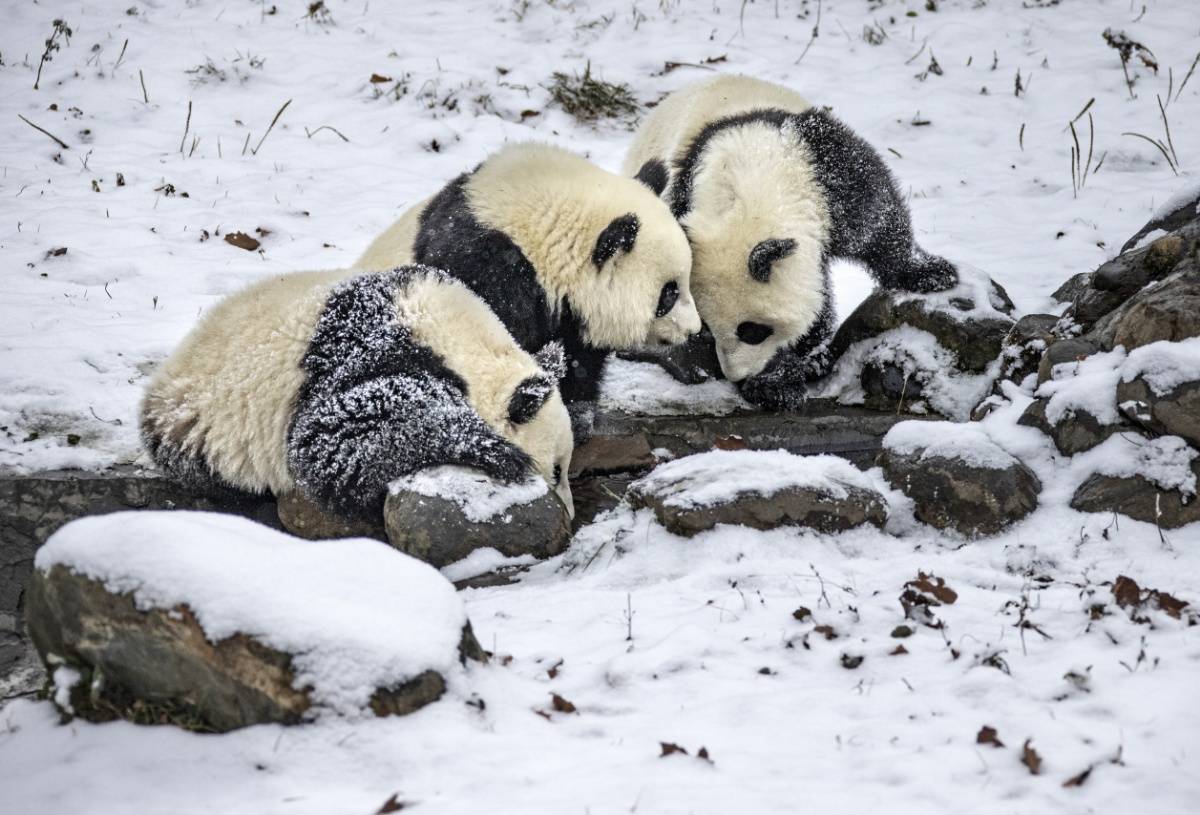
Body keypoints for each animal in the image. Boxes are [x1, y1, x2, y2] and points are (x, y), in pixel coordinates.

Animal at [145, 267, 576, 523]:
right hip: (205, 422)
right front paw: (494, 450)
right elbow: (332, 439)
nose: (571, 515)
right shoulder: (369, 353)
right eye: (556, 471)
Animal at [624, 73, 960, 410]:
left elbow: (878, 222)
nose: (738, 373)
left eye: (752, 331)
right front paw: (775, 383)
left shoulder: (826, 169)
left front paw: (930, 274)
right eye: (706, 328)